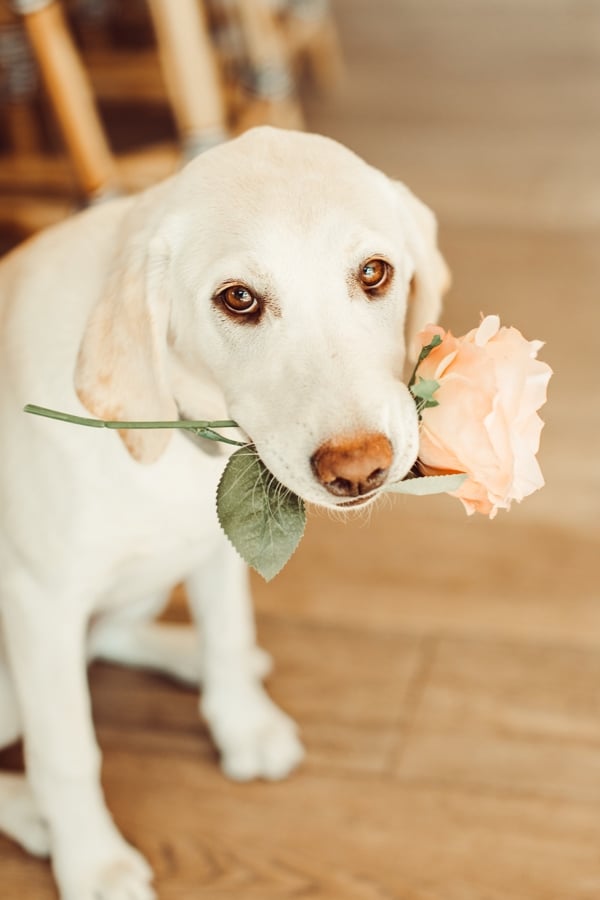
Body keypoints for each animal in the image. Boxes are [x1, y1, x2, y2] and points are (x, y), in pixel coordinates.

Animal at [0, 128, 450, 900]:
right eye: (238, 299)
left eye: (374, 274)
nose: (360, 468)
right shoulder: (39, 602)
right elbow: (66, 749)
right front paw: (92, 861)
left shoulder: (215, 546)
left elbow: (229, 636)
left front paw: (243, 725)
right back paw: (35, 816)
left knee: (114, 636)